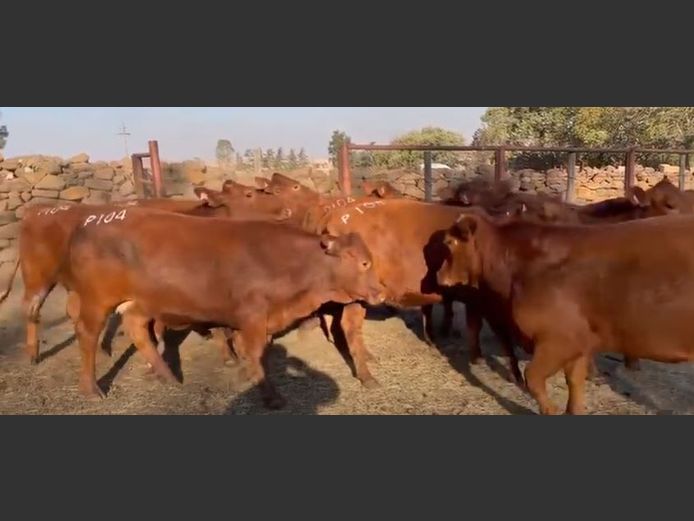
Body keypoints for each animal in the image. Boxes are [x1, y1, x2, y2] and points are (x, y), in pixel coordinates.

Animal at [61, 207, 385, 407]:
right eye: (364, 263)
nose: (380, 292)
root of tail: (89, 223)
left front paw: (248, 375)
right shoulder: (253, 317)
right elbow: (256, 353)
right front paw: (270, 396)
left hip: (141, 304)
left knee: (139, 332)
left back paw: (168, 376)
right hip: (96, 301)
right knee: (87, 336)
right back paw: (91, 389)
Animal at [436, 211, 694, 414]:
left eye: (449, 242)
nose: (438, 275)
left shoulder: (558, 339)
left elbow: (533, 377)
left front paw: (549, 409)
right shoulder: (579, 342)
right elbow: (574, 380)